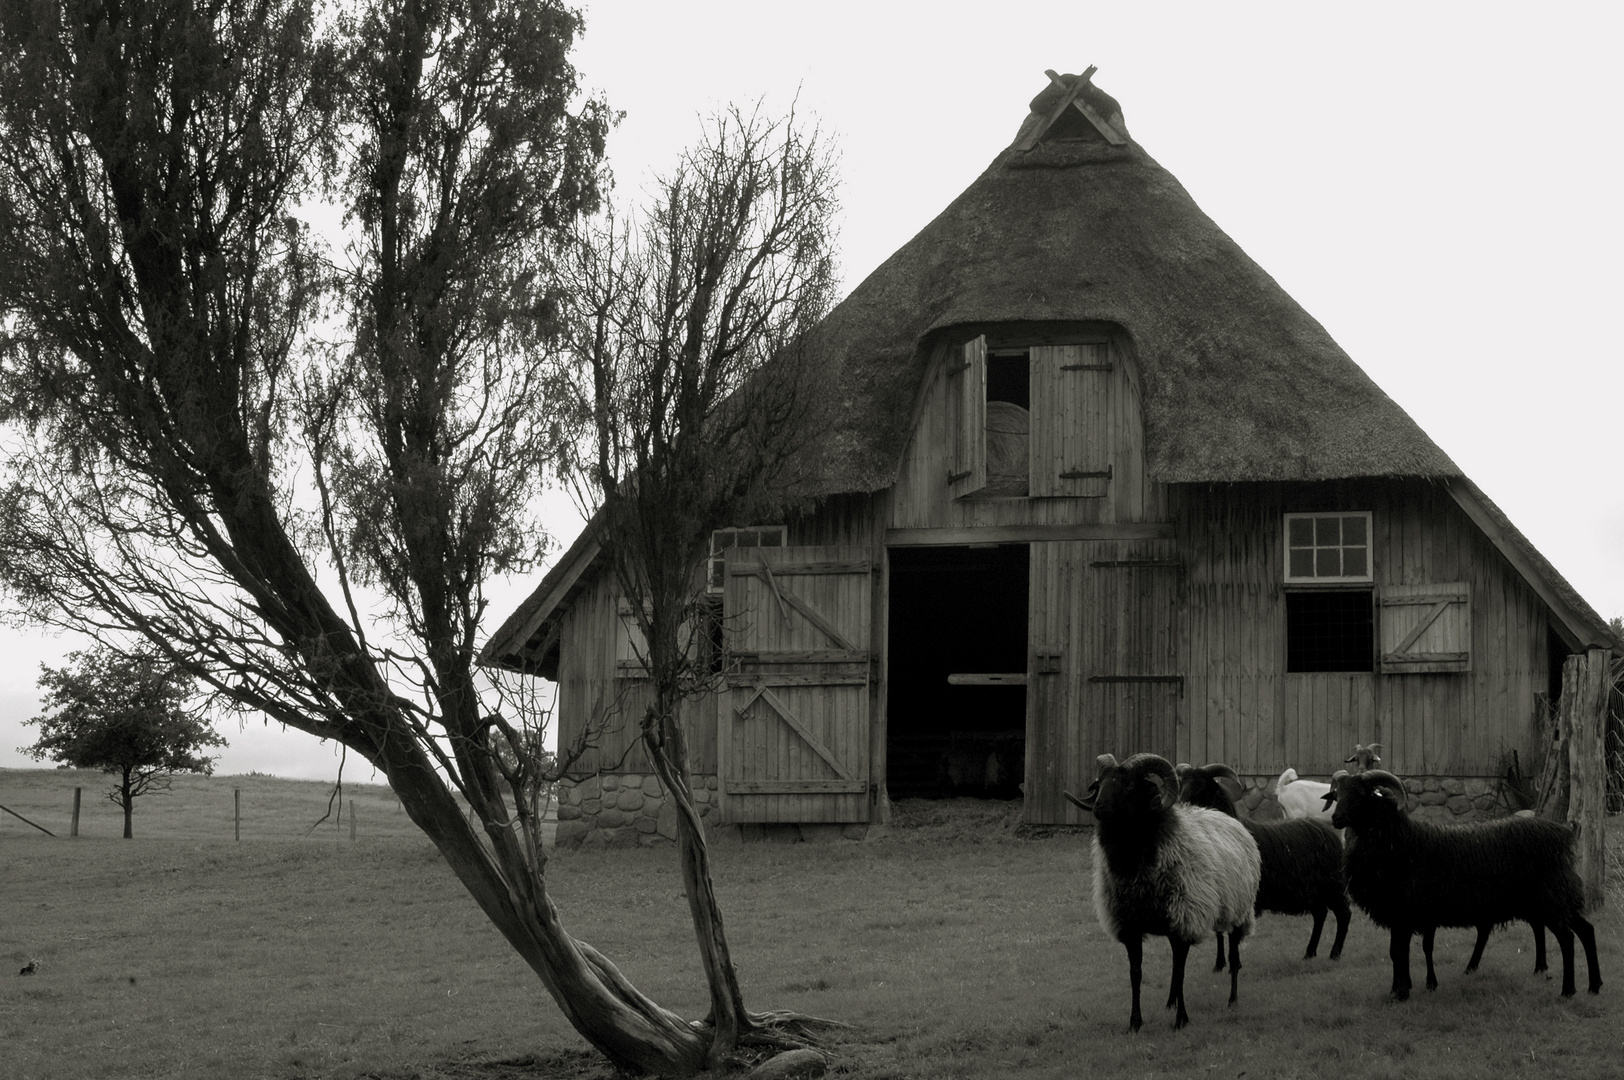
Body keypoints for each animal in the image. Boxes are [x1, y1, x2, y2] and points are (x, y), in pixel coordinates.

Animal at [1071, 750, 1260, 1026]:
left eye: (1129, 784)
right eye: (1100, 782)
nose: (1099, 808)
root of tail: (1225, 817)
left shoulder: (1184, 919)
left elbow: (1180, 972)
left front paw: (1181, 1020)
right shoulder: (1130, 926)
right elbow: (1136, 974)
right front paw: (1135, 1022)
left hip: (1239, 911)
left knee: (1234, 958)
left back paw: (1232, 1000)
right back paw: (1170, 1002)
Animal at [1325, 766, 1604, 1000]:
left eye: (1361, 794)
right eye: (1338, 794)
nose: (1336, 819)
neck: (1398, 842)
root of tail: (1562, 834)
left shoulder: (1403, 913)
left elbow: (1399, 952)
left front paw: (1401, 993)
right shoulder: (1399, 915)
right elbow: (1396, 953)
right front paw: (1399, 989)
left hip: (1550, 899)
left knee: (1567, 938)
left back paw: (1568, 991)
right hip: (1557, 898)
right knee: (1586, 930)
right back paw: (1594, 986)